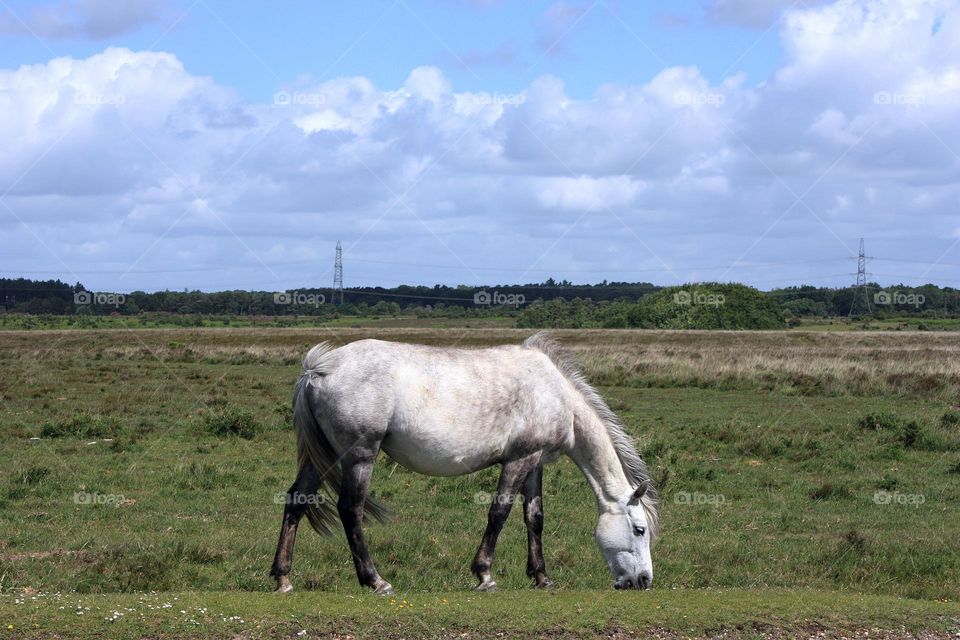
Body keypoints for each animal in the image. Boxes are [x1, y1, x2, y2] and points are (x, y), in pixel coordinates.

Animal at [270, 332, 660, 592]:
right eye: (639, 529)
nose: (643, 580)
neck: (556, 393)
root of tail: (318, 370)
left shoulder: (534, 462)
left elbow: (534, 518)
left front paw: (541, 576)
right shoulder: (518, 460)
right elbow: (499, 513)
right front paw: (484, 574)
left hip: (323, 458)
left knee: (297, 500)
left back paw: (283, 577)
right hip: (359, 456)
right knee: (350, 508)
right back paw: (376, 580)